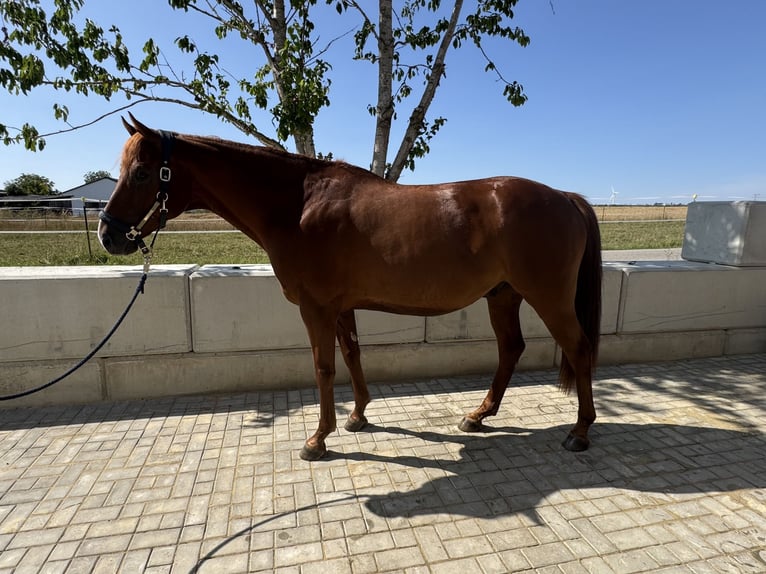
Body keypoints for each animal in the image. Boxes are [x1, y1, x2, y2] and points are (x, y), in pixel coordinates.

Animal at [99, 114, 602, 461]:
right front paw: (358, 416)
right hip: (503, 295)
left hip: (548, 297)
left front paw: (318, 439)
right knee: (511, 349)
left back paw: (579, 432)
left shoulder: (315, 307)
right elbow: (353, 354)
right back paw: (477, 415)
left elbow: (324, 367)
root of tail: (565, 197)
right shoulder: (341, 306)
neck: (299, 204)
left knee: (578, 348)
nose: (108, 235)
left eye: (142, 172)